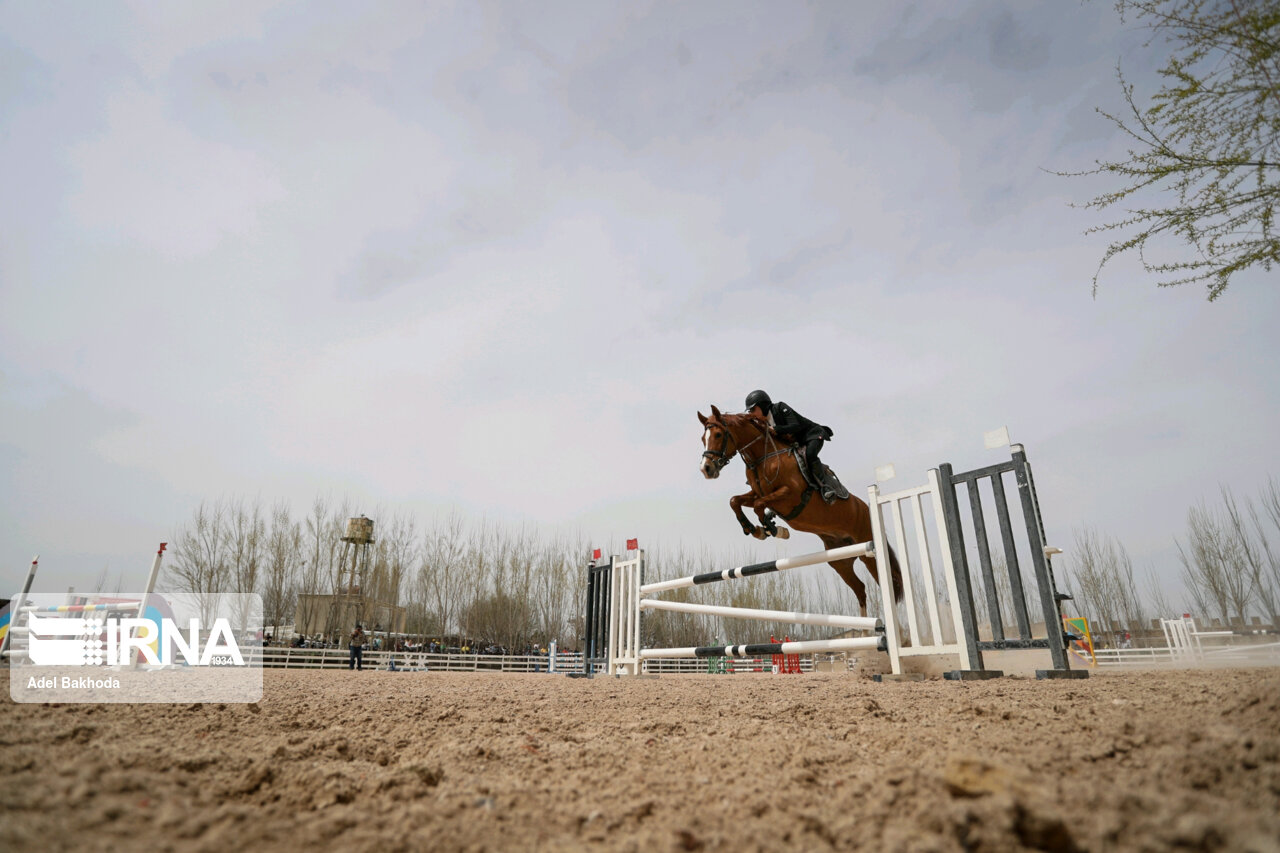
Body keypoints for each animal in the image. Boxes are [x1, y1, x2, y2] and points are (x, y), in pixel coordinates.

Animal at [696, 402, 906, 614]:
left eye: (718, 435)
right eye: (703, 439)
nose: (706, 469)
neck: (764, 456)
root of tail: (866, 507)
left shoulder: (789, 495)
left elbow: (758, 505)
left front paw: (772, 529)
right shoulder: (758, 493)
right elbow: (735, 501)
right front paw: (754, 528)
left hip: (868, 550)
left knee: (883, 581)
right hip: (840, 560)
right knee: (860, 589)